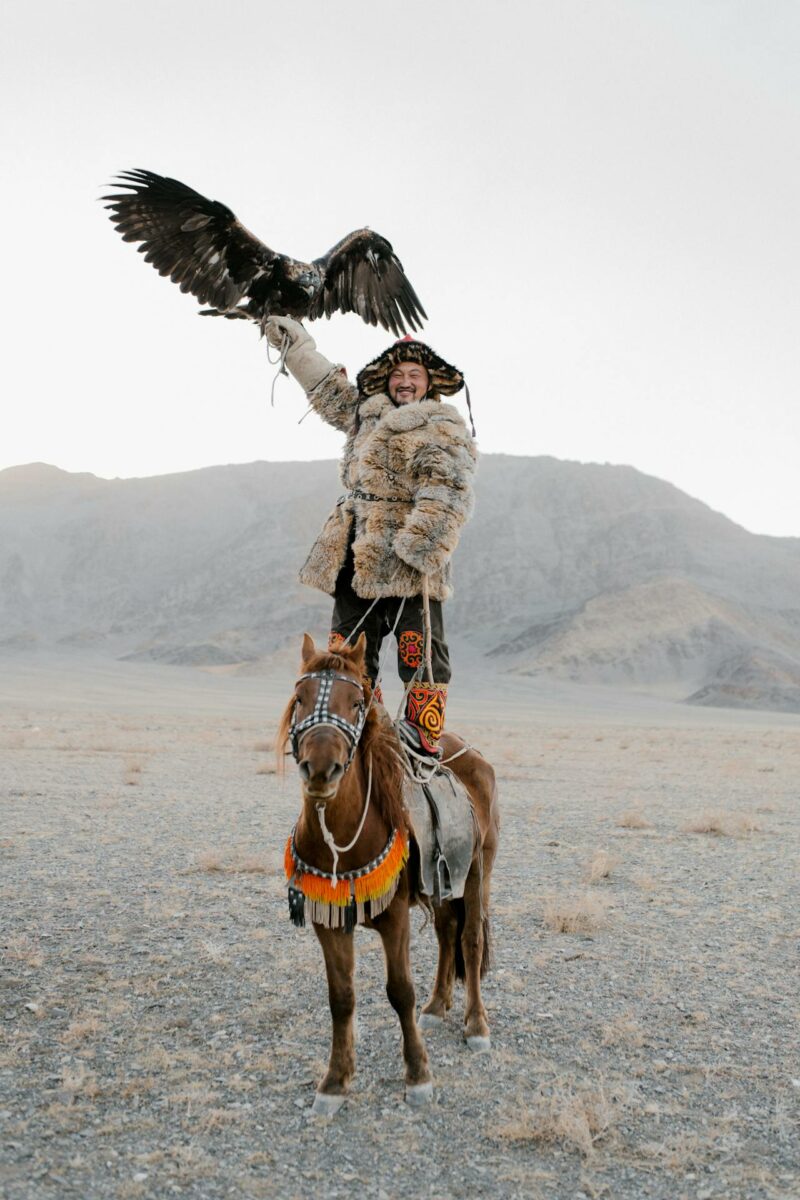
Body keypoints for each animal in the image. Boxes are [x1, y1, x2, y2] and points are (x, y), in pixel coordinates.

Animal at [278, 633, 496, 1108]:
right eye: (300, 699)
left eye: (357, 703)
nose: (320, 770)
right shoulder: (329, 920)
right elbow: (341, 997)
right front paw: (335, 1081)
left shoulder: (394, 916)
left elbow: (400, 991)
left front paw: (417, 1075)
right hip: (442, 881)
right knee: (447, 932)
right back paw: (436, 1006)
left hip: (476, 870)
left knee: (470, 941)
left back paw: (475, 1024)